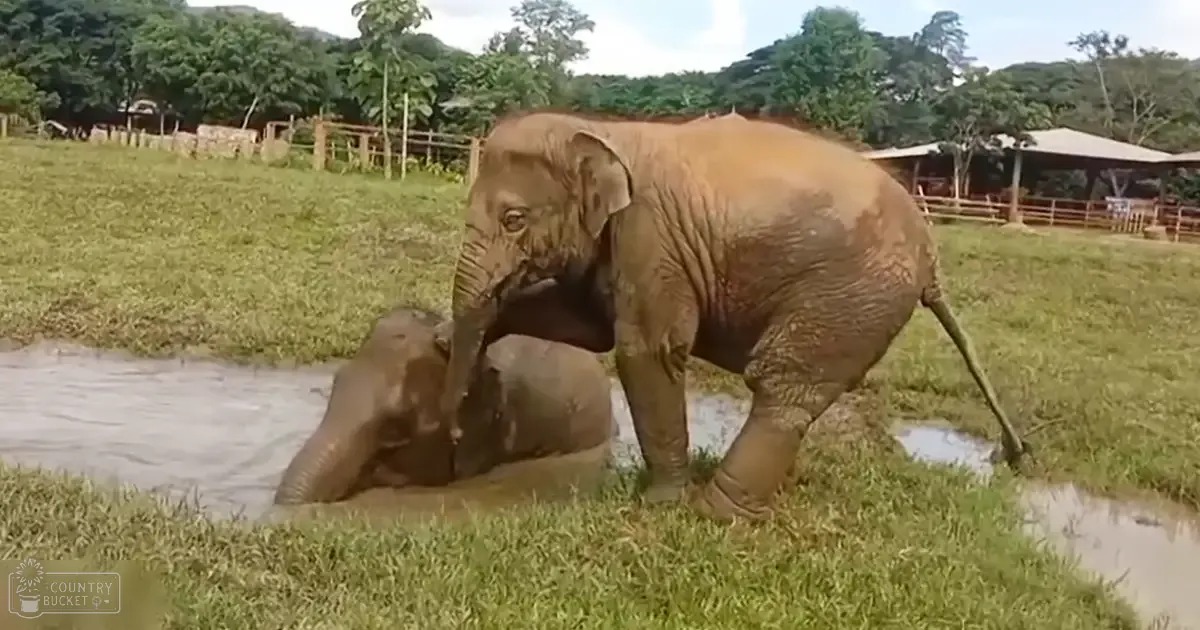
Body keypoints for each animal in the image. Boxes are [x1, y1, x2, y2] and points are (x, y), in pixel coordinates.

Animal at [433, 111, 1031, 523]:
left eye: (514, 219)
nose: (454, 442)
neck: (600, 129)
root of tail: (931, 256)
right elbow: (585, 325)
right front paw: (444, 338)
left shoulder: (651, 238)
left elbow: (646, 350)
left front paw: (660, 505)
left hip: (851, 293)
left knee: (784, 385)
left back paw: (716, 514)